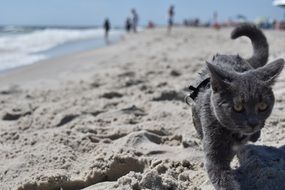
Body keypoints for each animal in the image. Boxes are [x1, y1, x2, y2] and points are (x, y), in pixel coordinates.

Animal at [189, 24, 284, 190]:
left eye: (262, 106)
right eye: (238, 107)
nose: (253, 122)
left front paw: (255, 134)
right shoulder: (214, 152)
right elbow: (221, 177)